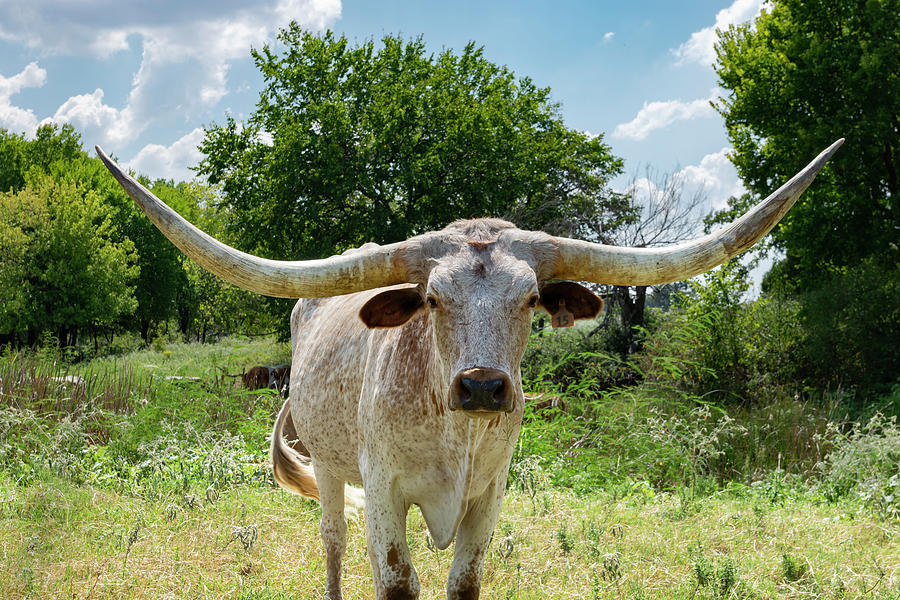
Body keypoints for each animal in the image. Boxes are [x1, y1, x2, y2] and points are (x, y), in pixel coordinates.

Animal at [96, 138, 844, 596]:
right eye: (432, 298)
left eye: (531, 299)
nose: (483, 386)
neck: (452, 433)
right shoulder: (385, 493)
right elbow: (395, 580)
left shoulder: (490, 495)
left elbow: (464, 582)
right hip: (333, 470)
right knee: (334, 543)